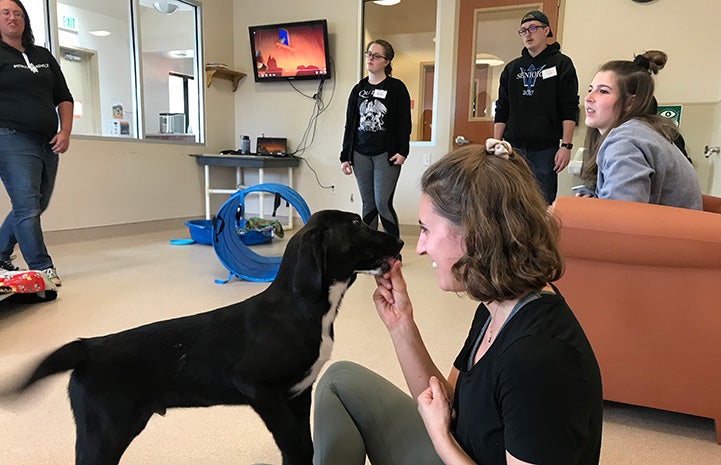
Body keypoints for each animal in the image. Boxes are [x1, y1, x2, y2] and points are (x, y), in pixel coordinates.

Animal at [9, 210, 400, 464]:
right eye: (356, 222)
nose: (398, 240)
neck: (303, 308)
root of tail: (89, 346)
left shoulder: (299, 394)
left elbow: (304, 445)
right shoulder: (258, 388)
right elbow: (293, 444)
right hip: (103, 433)